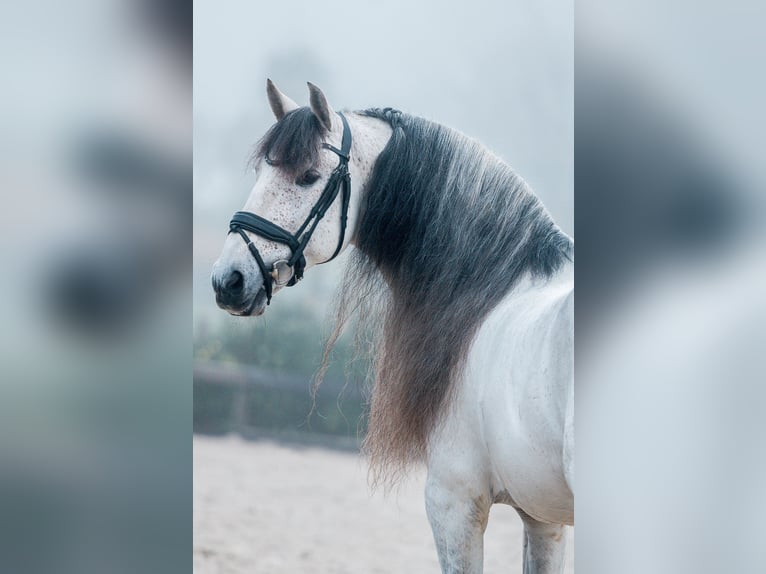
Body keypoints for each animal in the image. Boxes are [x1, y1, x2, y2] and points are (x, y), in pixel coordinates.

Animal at [212, 81, 576, 574]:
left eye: (308, 176)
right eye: (261, 171)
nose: (227, 280)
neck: (496, 294)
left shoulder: (454, 500)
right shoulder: (542, 518)